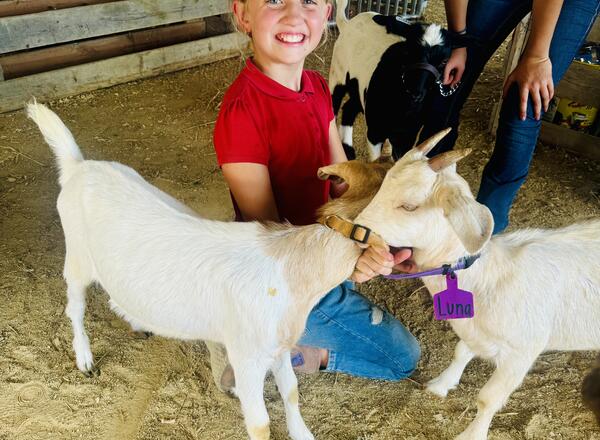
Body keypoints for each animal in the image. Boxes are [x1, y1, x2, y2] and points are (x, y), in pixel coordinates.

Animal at [25, 100, 408, 440]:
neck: (290, 265)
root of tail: (78, 166)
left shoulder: (280, 345)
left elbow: (291, 390)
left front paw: (303, 434)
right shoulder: (249, 354)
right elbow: (260, 424)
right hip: (76, 257)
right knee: (75, 307)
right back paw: (85, 359)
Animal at [328, 0, 474, 161]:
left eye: (444, 61)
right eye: (408, 52)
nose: (415, 92)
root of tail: (346, 23)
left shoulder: (407, 136)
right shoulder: (375, 131)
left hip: (358, 87)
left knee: (349, 107)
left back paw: (348, 149)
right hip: (338, 74)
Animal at [354, 136, 600, 438]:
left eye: (409, 206)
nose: (354, 229)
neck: (487, 277)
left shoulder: (522, 352)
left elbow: (488, 399)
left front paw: (472, 433)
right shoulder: (472, 329)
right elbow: (461, 352)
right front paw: (441, 384)